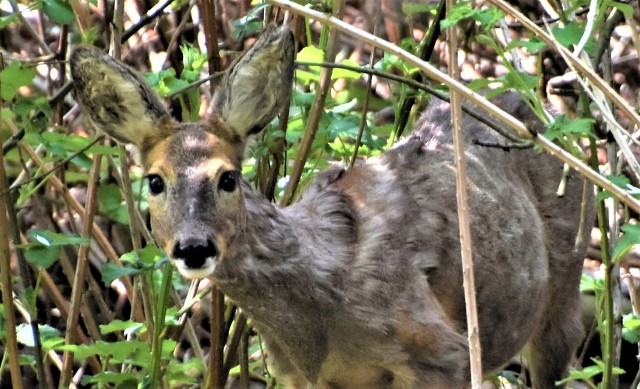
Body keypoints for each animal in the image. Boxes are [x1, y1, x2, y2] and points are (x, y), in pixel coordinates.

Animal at [71, 24, 596, 388]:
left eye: (228, 177)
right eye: (155, 181)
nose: (194, 247)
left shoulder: (442, 354)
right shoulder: (305, 375)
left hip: (565, 279)